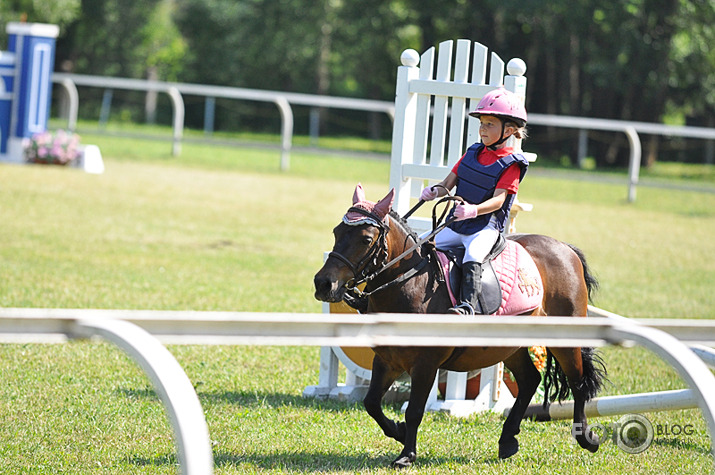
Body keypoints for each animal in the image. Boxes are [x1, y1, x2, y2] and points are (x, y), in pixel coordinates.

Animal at [314, 186, 604, 468]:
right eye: (336, 232)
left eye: (365, 239)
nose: (323, 284)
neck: (410, 283)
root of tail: (565, 248)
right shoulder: (387, 360)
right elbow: (372, 403)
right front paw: (398, 431)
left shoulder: (425, 365)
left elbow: (414, 410)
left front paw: (407, 455)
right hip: (509, 346)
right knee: (530, 380)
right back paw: (507, 441)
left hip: (563, 340)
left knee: (577, 382)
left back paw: (586, 438)